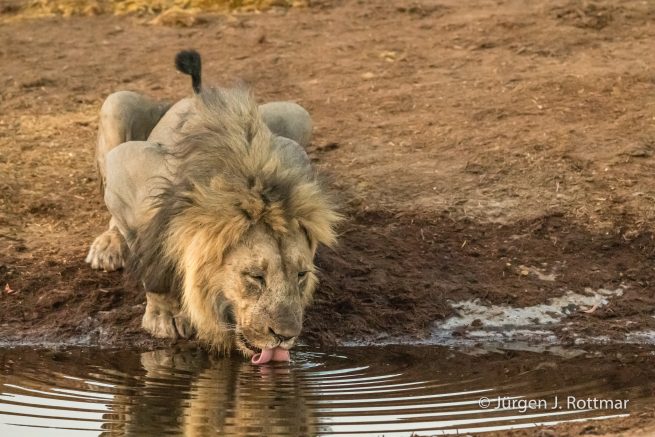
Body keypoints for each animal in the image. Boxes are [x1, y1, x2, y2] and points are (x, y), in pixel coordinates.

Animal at [85, 50, 341, 363]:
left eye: (301, 275)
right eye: (255, 277)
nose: (285, 335)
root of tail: (194, 93)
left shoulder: (294, 154)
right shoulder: (126, 165)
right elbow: (154, 263)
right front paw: (166, 317)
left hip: (298, 114)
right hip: (116, 104)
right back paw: (107, 247)